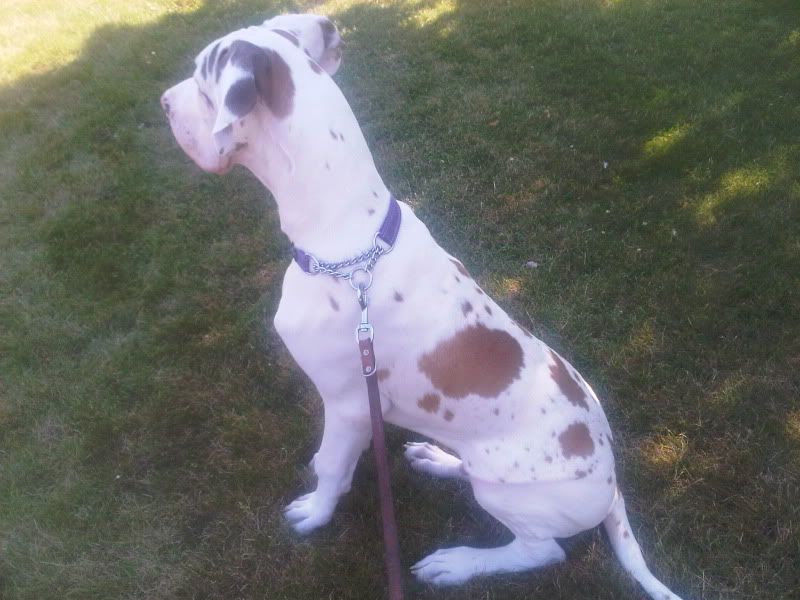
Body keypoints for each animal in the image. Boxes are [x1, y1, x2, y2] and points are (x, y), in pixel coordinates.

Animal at [161, 13, 684, 599]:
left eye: (201, 84)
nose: (163, 102)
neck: (350, 242)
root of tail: (613, 487)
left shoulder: (346, 405)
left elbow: (333, 468)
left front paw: (316, 513)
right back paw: (436, 458)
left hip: (507, 494)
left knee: (539, 550)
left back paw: (458, 563)